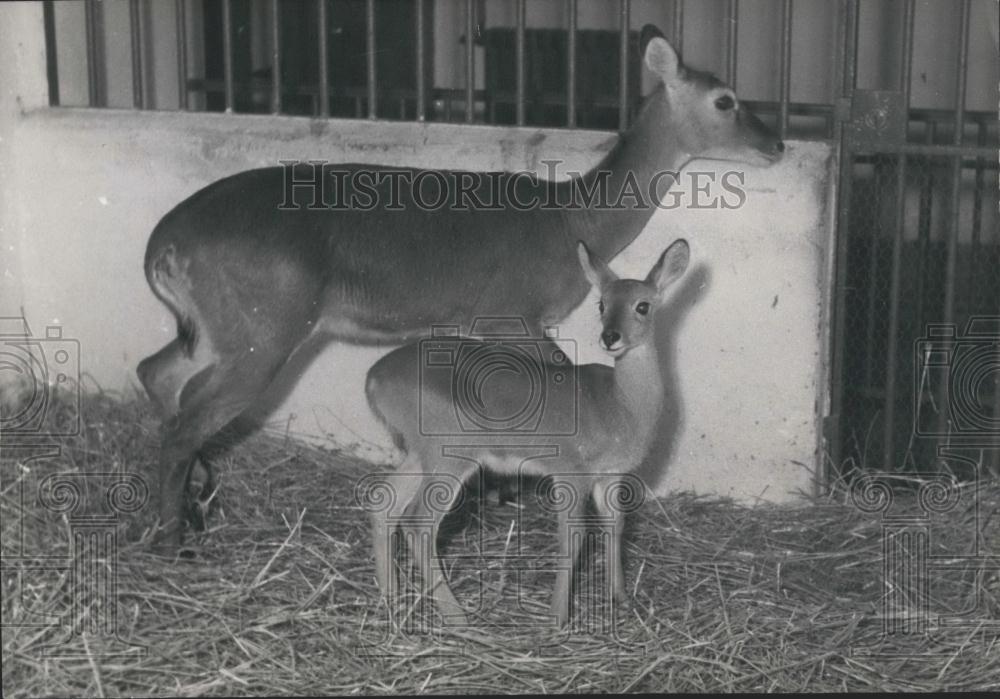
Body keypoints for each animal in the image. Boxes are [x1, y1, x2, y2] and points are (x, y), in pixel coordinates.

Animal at [139, 26, 780, 548]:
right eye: (725, 99)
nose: (776, 144)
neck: (572, 220)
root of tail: (160, 246)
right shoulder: (511, 312)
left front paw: (497, 490)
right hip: (263, 328)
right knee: (184, 419)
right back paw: (173, 539)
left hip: (217, 328)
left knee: (157, 373)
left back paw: (194, 504)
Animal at [364, 238, 692, 628]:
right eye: (601, 303)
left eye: (643, 305)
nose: (610, 336)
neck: (617, 405)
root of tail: (374, 377)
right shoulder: (570, 472)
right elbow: (574, 537)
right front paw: (557, 619)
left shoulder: (610, 476)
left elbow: (616, 526)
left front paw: (622, 599)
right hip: (450, 455)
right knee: (418, 522)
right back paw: (458, 617)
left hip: (420, 454)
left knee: (384, 501)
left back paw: (391, 598)